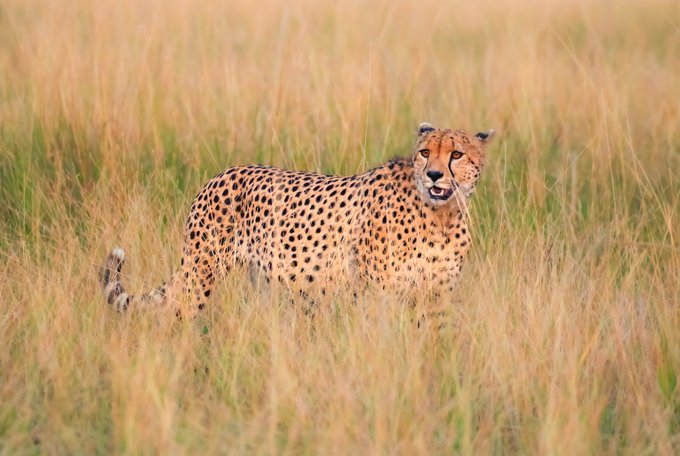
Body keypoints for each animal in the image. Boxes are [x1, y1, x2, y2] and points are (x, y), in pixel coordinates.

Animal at [99, 123, 495, 319]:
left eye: (456, 155)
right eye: (425, 152)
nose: (433, 175)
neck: (441, 216)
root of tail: (220, 174)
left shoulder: (436, 296)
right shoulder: (375, 293)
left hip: (264, 280)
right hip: (202, 271)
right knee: (178, 315)